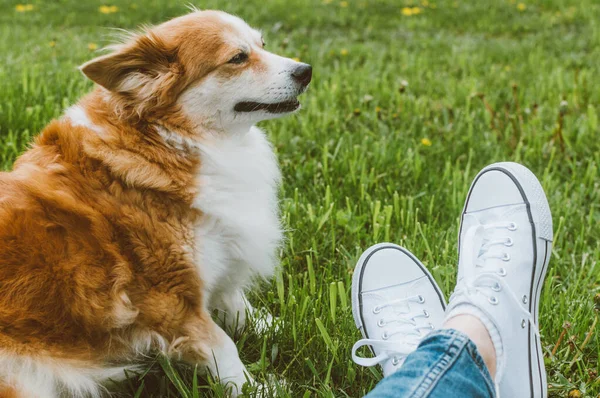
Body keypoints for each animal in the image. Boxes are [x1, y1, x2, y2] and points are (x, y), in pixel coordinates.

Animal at [0, 9, 312, 398]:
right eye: (238, 58)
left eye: (262, 45)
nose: (306, 70)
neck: (165, 140)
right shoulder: (169, 299)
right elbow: (223, 346)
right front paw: (257, 388)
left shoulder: (219, 258)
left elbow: (238, 304)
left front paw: (284, 326)